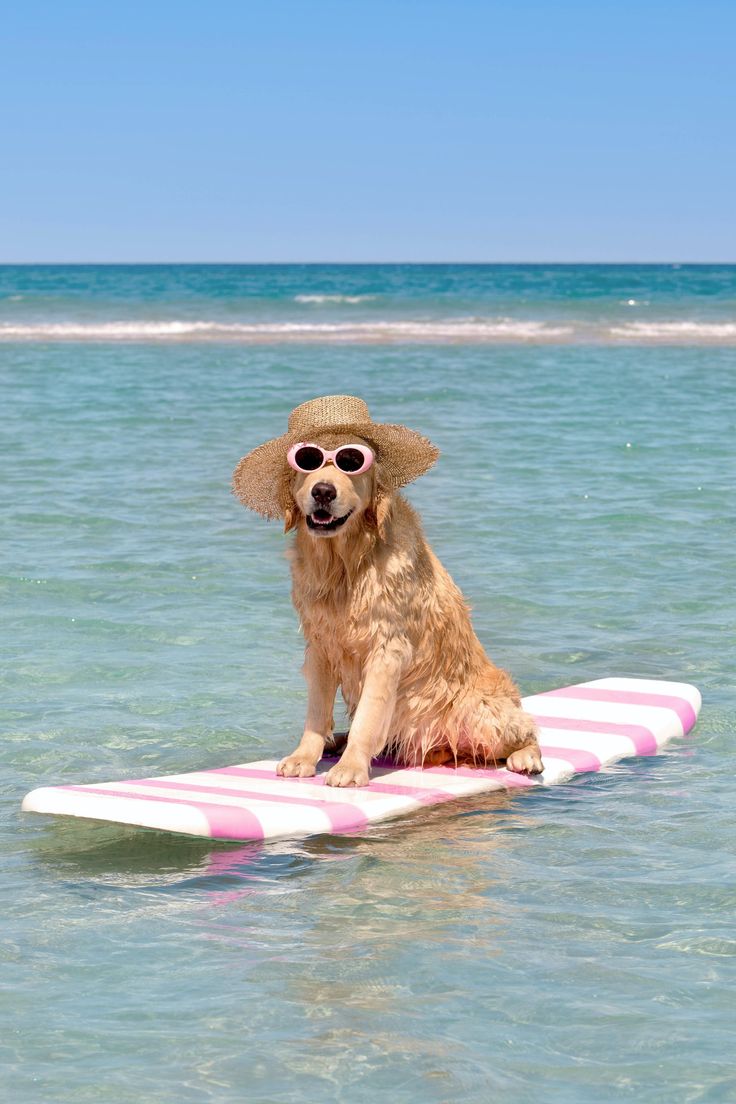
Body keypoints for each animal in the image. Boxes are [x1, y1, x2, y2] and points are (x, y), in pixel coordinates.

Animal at [232, 397, 545, 786]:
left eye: (351, 462)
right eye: (308, 460)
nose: (323, 491)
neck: (345, 566)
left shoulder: (387, 648)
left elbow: (369, 715)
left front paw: (350, 768)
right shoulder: (320, 644)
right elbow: (316, 712)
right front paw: (305, 755)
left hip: (481, 711)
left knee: (526, 730)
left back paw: (526, 757)